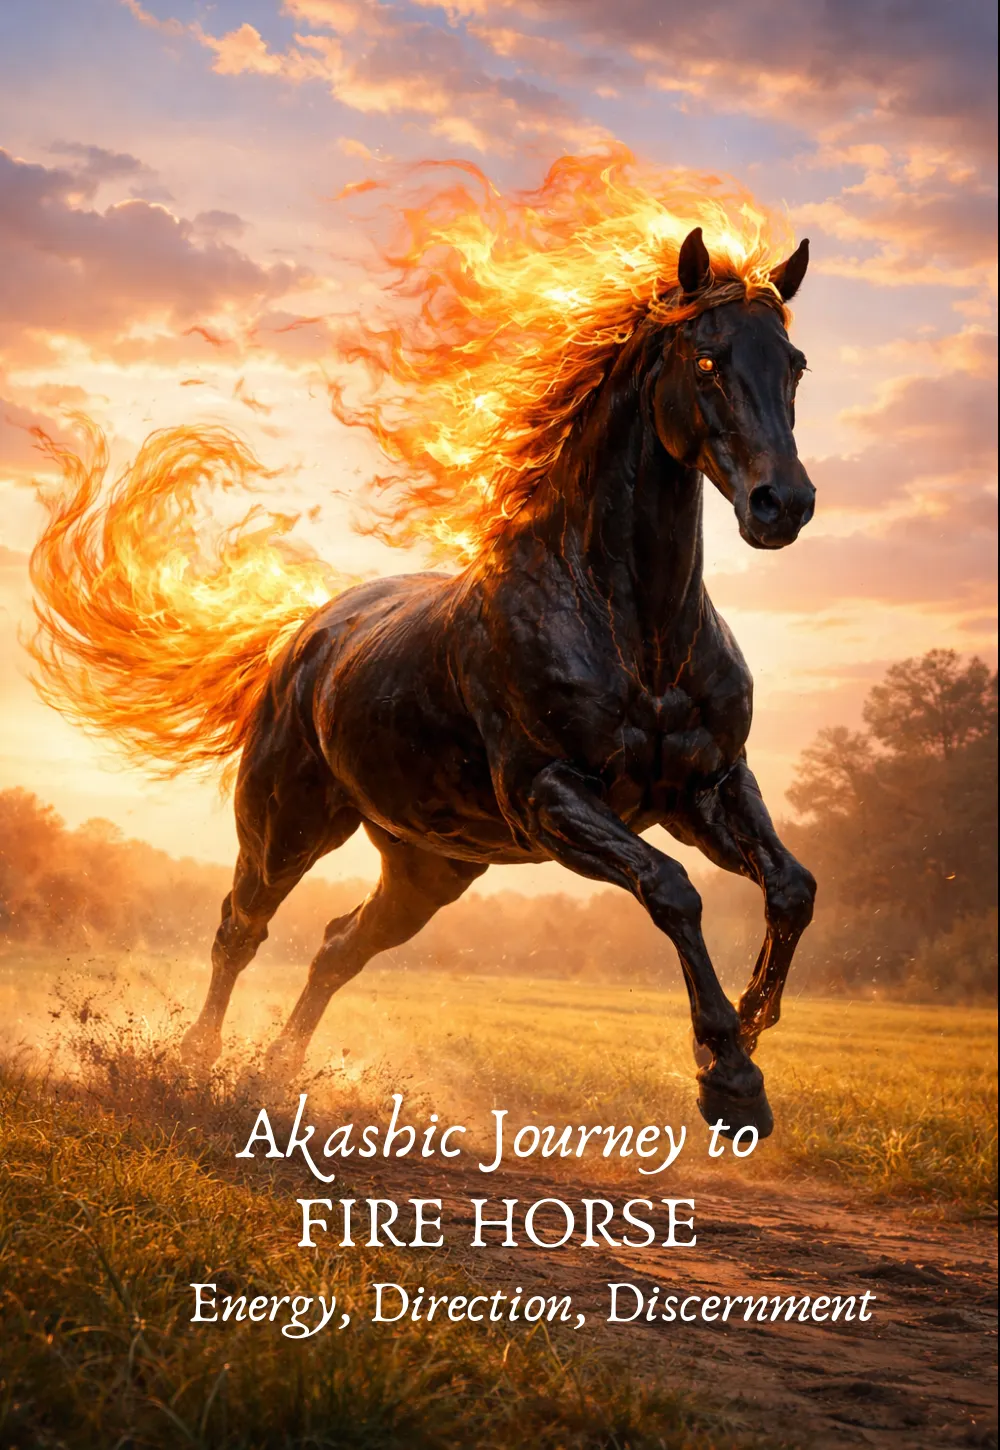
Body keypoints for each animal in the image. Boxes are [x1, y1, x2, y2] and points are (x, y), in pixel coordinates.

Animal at [29, 213, 816, 1138]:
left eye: (794, 364)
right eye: (707, 360)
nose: (783, 505)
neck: (637, 636)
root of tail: (302, 638)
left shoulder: (707, 789)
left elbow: (791, 888)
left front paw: (752, 1033)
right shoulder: (552, 797)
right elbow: (673, 890)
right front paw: (728, 1077)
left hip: (428, 868)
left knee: (338, 947)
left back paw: (274, 1077)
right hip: (287, 825)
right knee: (240, 930)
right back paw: (194, 1068)